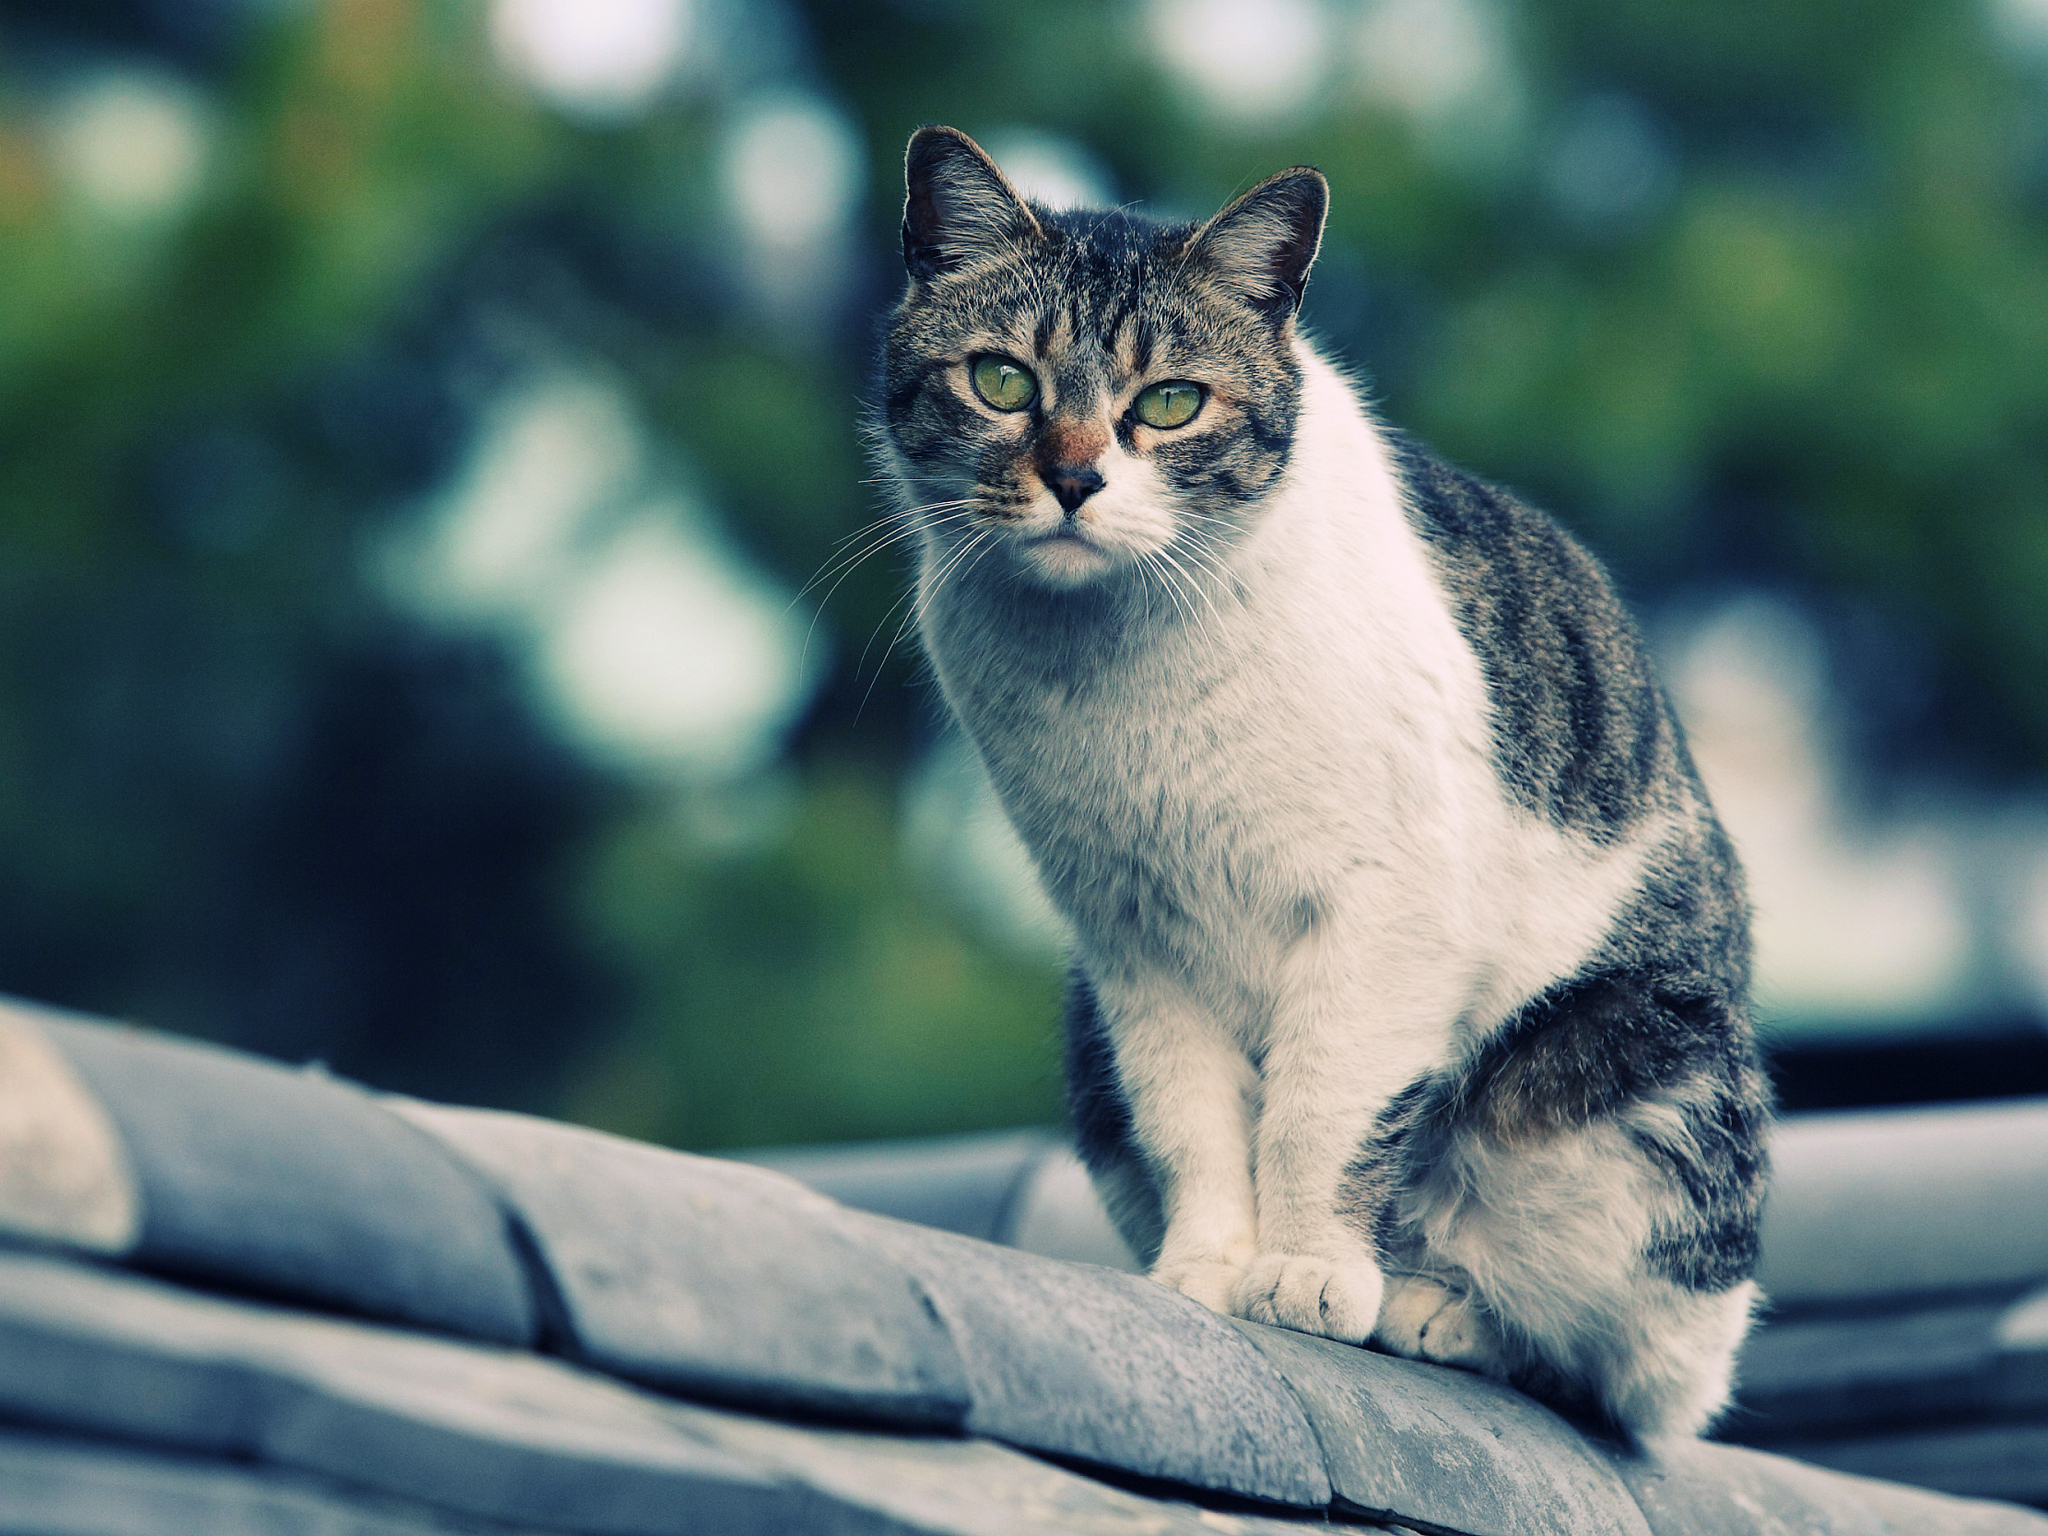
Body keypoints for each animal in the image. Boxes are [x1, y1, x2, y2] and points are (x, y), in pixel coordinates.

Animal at [872, 129, 1769, 1441]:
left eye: (1169, 403)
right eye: (1000, 382)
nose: (1075, 479)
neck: (1114, 653)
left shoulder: (1387, 913)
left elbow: (1315, 1112)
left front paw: (1300, 1268)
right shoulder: (1132, 945)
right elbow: (1192, 1123)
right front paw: (1207, 1269)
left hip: (1623, 1073)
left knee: (1623, 1374)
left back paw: (1436, 1306)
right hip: (1087, 1043)